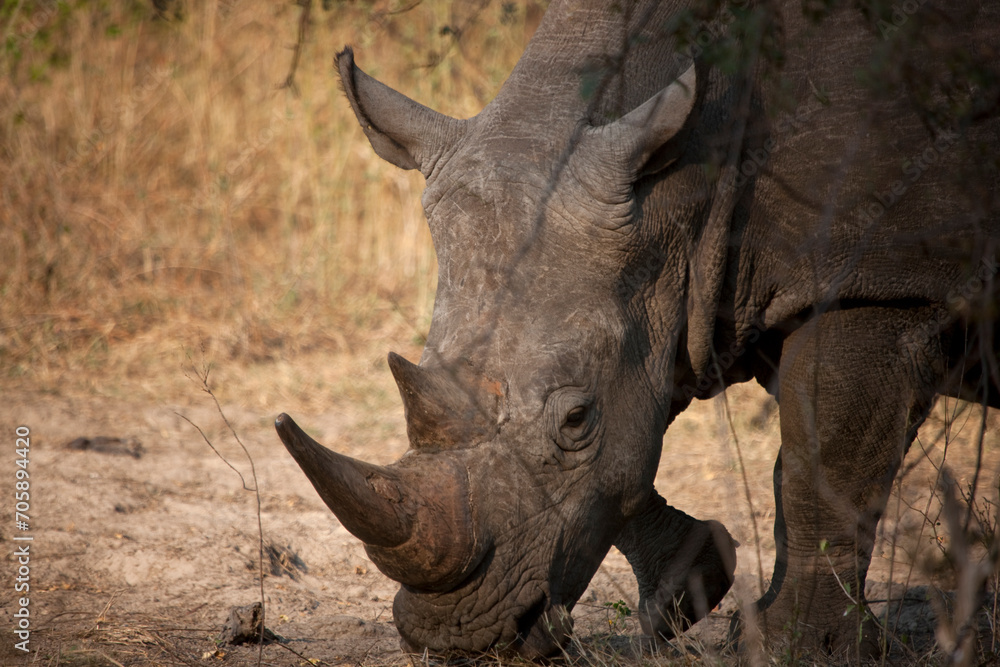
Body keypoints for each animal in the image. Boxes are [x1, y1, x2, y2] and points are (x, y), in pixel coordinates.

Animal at [275, 0, 1000, 657]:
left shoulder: (878, 279)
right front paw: (690, 590)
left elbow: (825, 465)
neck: (685, 183)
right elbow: (631, 458)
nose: (452, 636)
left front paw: (793, 648)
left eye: (576, 421)